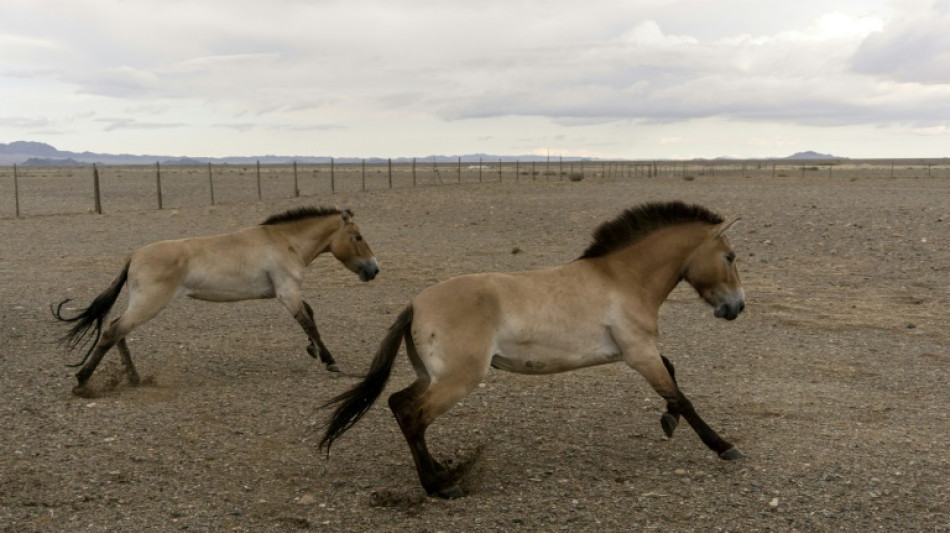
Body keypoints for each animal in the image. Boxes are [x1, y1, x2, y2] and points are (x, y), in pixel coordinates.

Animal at [53, 206, 380, 396]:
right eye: (358, 237)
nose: (374, 269)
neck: (285, 242)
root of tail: (134, 255)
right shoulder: (287, 292)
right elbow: (309, 322)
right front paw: (330, 361)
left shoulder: (288, 293)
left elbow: (310, 317)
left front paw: (314, 352)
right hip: (148, 304)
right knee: (113, 331)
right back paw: (83, 382)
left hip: (141, 305)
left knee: (118, 329)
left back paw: (133, 378)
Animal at [324, 201, 748, 498]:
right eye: (730, 257)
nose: (737, 307)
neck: (623, 278)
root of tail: (416, 304)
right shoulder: (639, 352)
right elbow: (681, 395)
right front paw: (724, 447)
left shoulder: (635, 351)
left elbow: (673, 377)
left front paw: (668, 421)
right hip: (457, 380)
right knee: (415, 416)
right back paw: (440, 486)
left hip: (430, 376)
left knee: (398, 404)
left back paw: (441, 471)